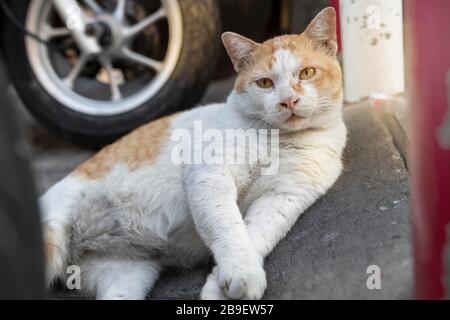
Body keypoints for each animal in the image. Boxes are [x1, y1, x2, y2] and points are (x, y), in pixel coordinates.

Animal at [40, 8, 346, 302]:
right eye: (264, 83)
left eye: (306, 73)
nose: (288, 101)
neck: (278, 141)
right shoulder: (209, 176)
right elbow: (229, 228)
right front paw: (240, 273)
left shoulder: (283, 197)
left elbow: (255, 234)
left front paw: (223, 288)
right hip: (54, 235)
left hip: (125, 274)